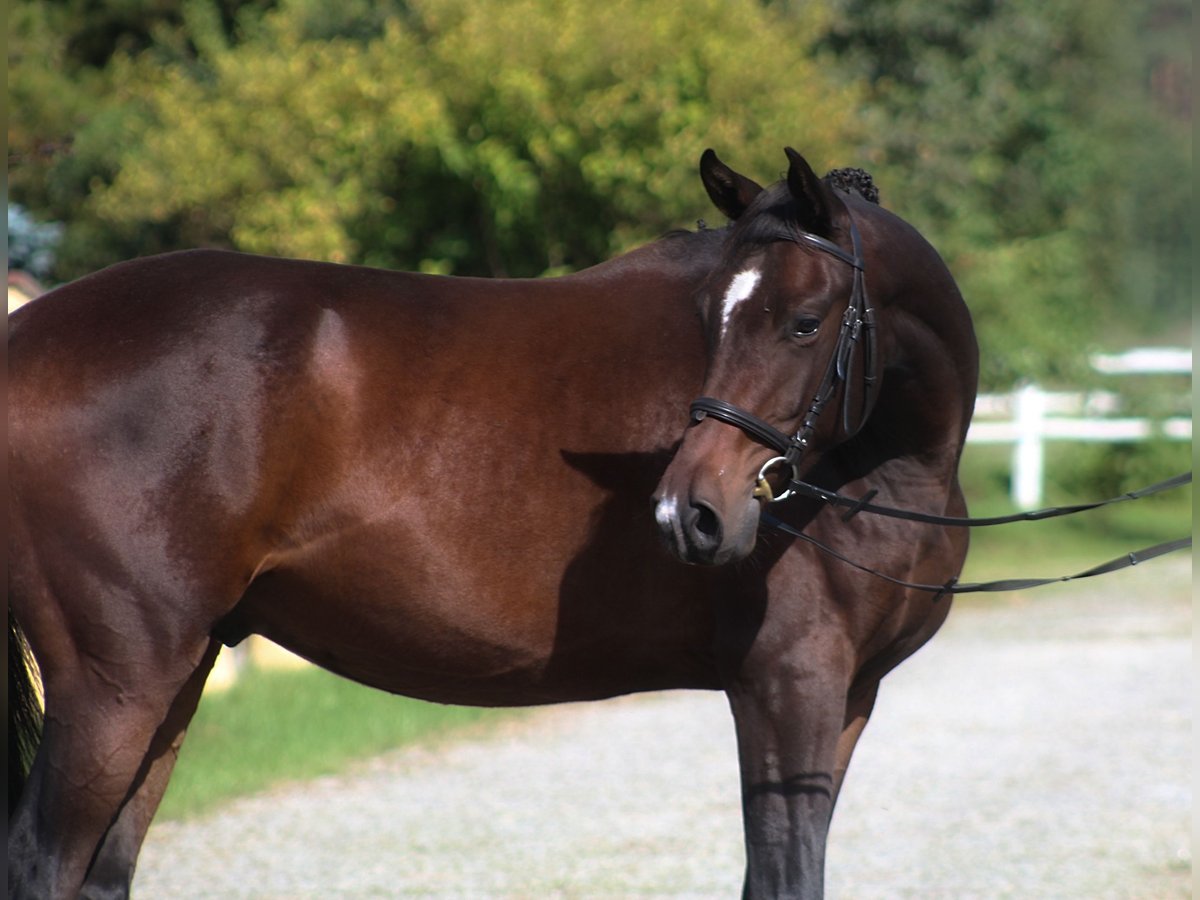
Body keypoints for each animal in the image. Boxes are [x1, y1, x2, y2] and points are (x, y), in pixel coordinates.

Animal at [8, 146, 977, 899]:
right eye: (710, 318)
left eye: (805, 322)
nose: (689, 513)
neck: (883, 461)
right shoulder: (787, 686)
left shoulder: (847, 696)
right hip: (114, 684)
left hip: (174, 677)